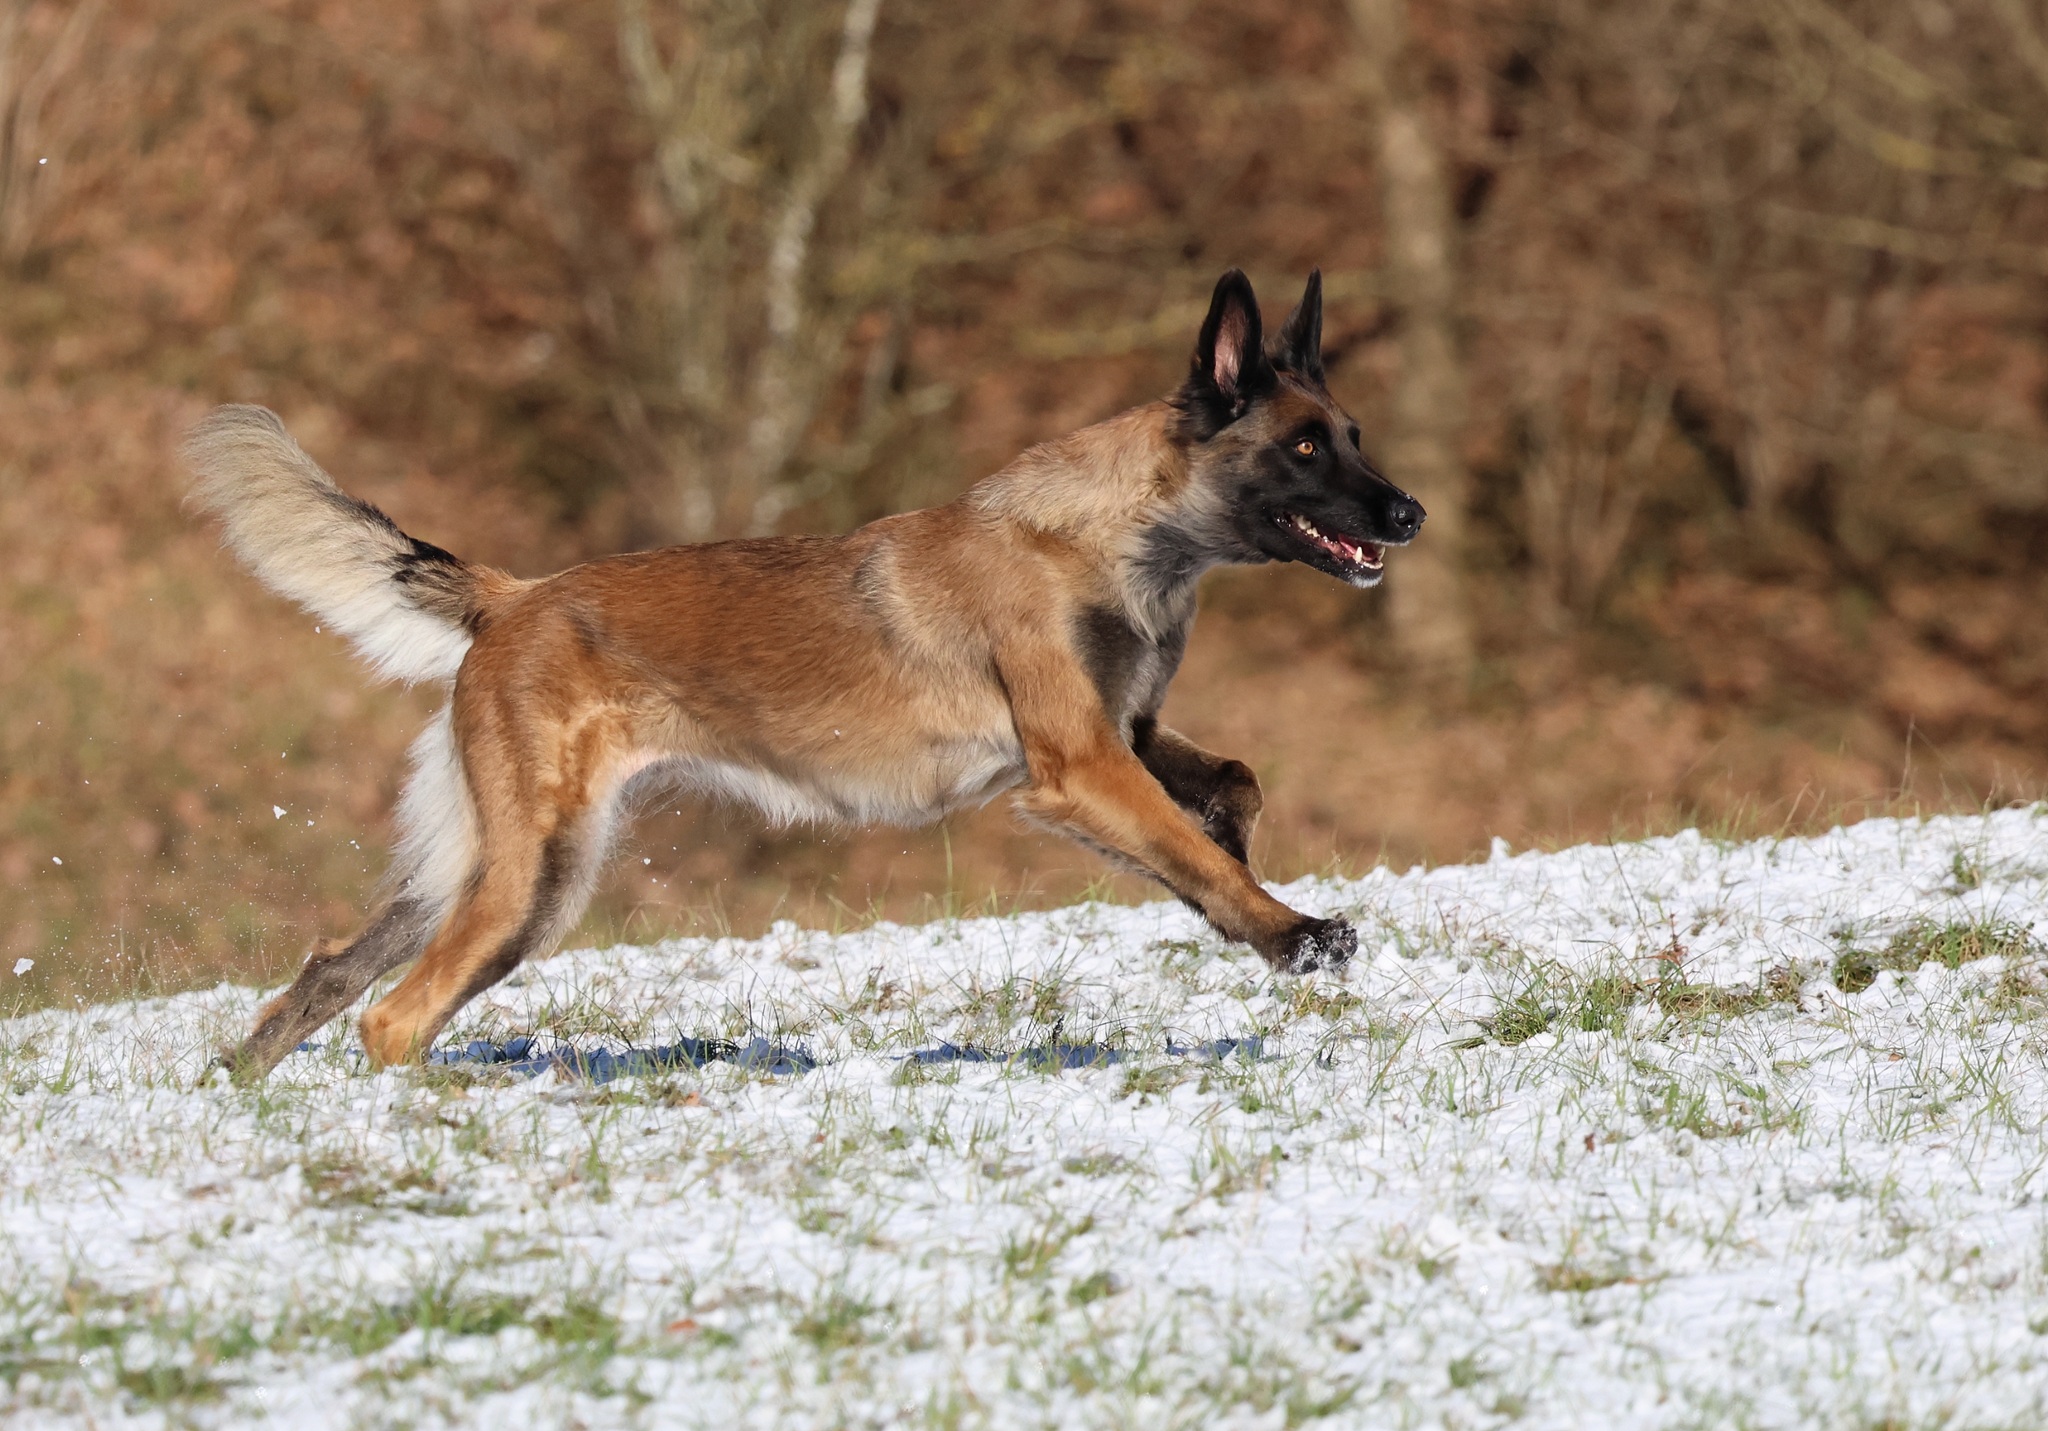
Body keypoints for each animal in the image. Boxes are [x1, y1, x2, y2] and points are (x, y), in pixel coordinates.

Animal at [187, 268, 1424, 1083]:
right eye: (1304, 448)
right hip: (534, 877)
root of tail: (511, 597)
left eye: (1354, 435)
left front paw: (1242, 884)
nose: (1411, 513)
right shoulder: (1077, 767)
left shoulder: (1123, 734)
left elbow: (1229, 788)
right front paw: (1290, 932)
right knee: (394, 1019)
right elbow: (1183, 844)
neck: (1112, 535)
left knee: (331, 975)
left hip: (481, 867)